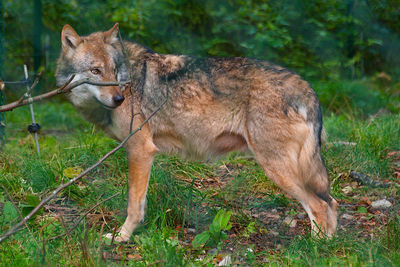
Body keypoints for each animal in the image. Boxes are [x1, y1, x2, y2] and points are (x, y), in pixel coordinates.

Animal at [56, 23, 338, 243]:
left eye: (115, 71)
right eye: (96, 71)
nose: (119, 98)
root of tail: (306, 87)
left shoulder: (141, 149)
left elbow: (134, 205)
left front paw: (122, 237)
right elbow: (140, 202)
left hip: (276, 169)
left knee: (320, 206)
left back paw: (315, 248)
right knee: (332, 203)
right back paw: (328, 244)